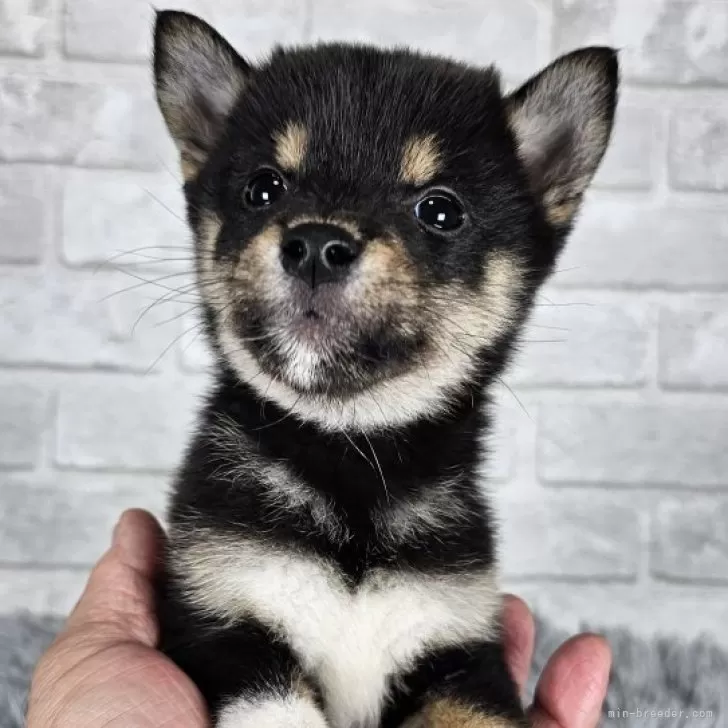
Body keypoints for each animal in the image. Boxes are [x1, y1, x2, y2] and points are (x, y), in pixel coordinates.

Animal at [151, 11, 616, 728]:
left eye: (441, 209)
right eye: (263, 188)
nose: (316, 243)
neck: (353, 456)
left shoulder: (461, 651)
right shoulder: (223, 619)